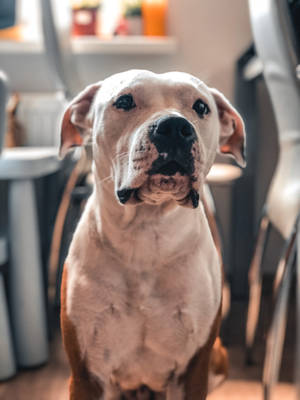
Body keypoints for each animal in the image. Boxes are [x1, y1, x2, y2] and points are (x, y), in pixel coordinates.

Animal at [59, 70, 245, 398]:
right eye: (124, 101)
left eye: (201, 107)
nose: (174, 128)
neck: (145, 234)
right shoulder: (87, 375)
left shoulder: (193, 372)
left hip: (217, 359)